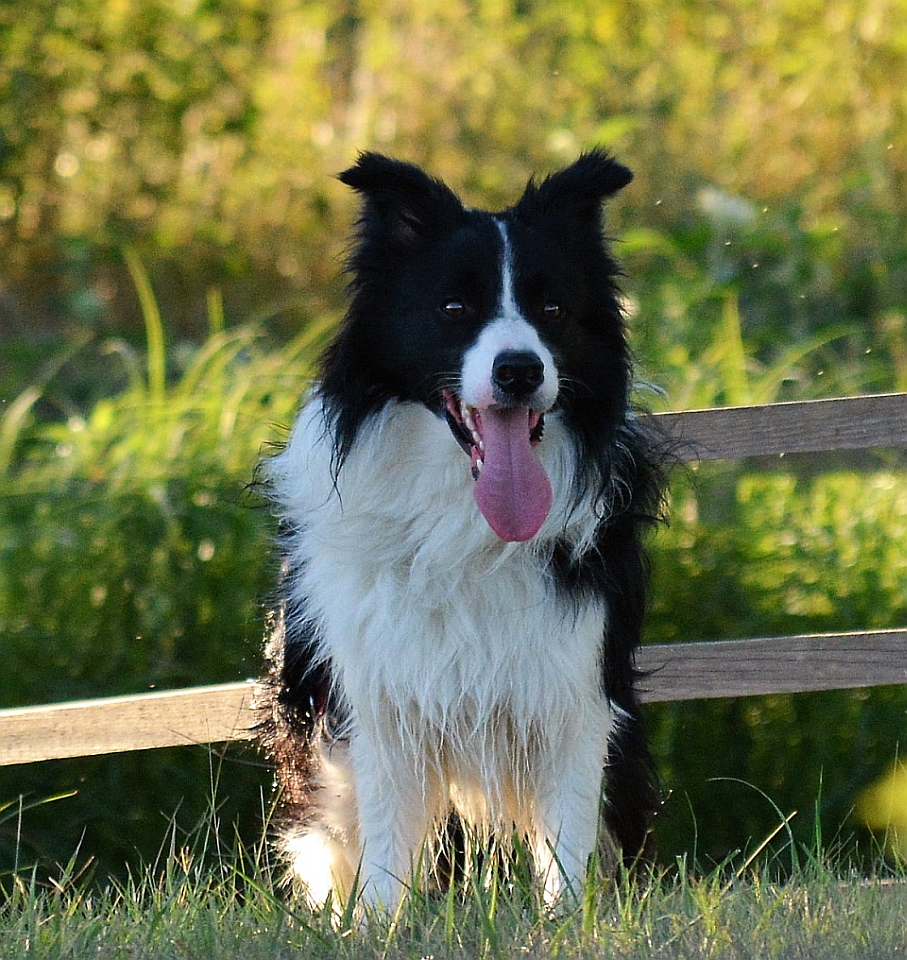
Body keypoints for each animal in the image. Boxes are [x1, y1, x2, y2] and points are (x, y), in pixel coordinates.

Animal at [257, 150, 665, 912]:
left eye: (552, 309)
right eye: (453, 309)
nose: (520, 370)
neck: (465, 518)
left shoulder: (573, 692)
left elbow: (568, 846)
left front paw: (568, 923)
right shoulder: (381, 702)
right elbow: (386, 853)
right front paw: (377, 928)